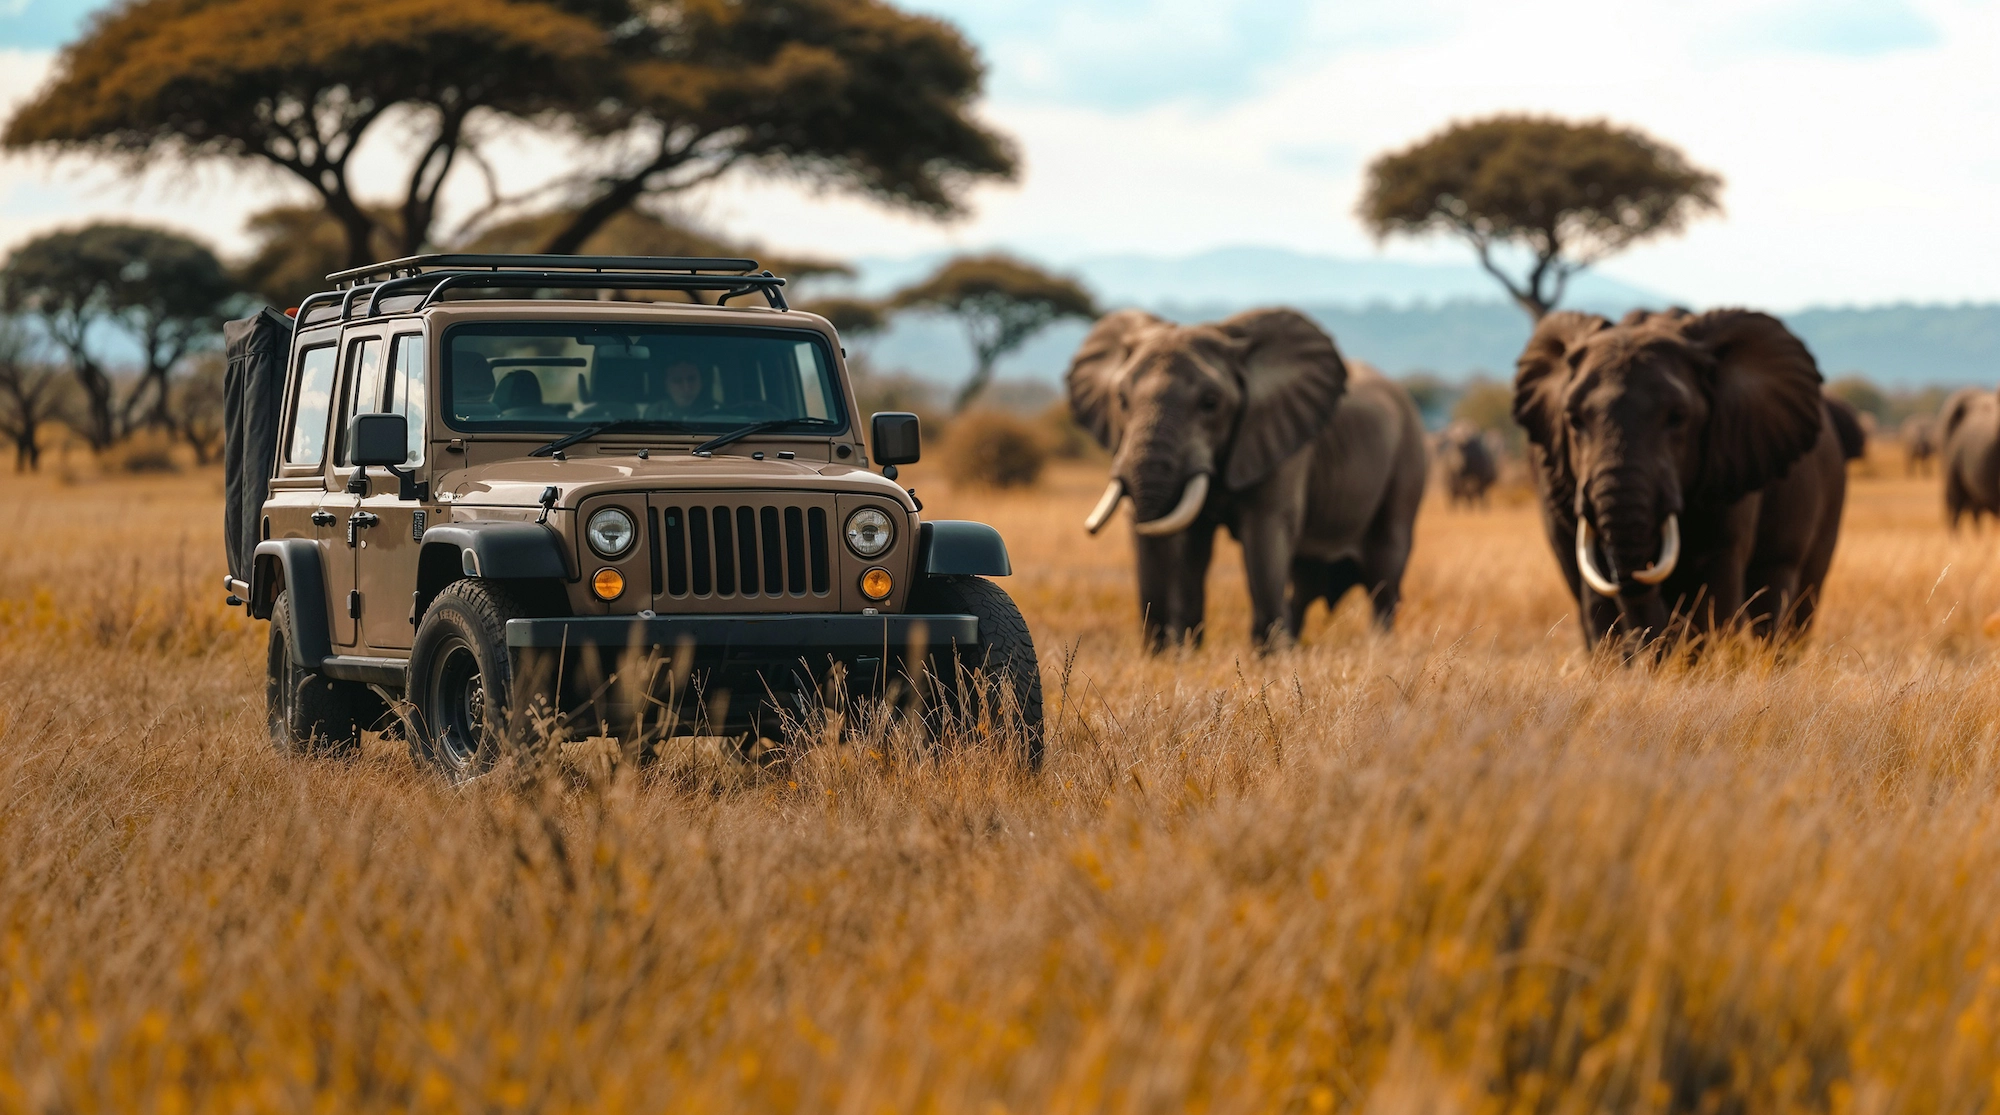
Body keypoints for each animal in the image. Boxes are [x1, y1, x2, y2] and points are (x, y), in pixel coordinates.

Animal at [1066, 307, 1427, 651]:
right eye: (1121, 400)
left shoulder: (1280, 439)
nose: (1158, 651)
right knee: (1305, 583)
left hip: (1408, 462)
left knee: (1384, 575)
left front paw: (1267, 662)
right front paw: (1189, 656)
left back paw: (1377, 649)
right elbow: (1192, 547)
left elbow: (1264, 536)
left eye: (1210, 403)